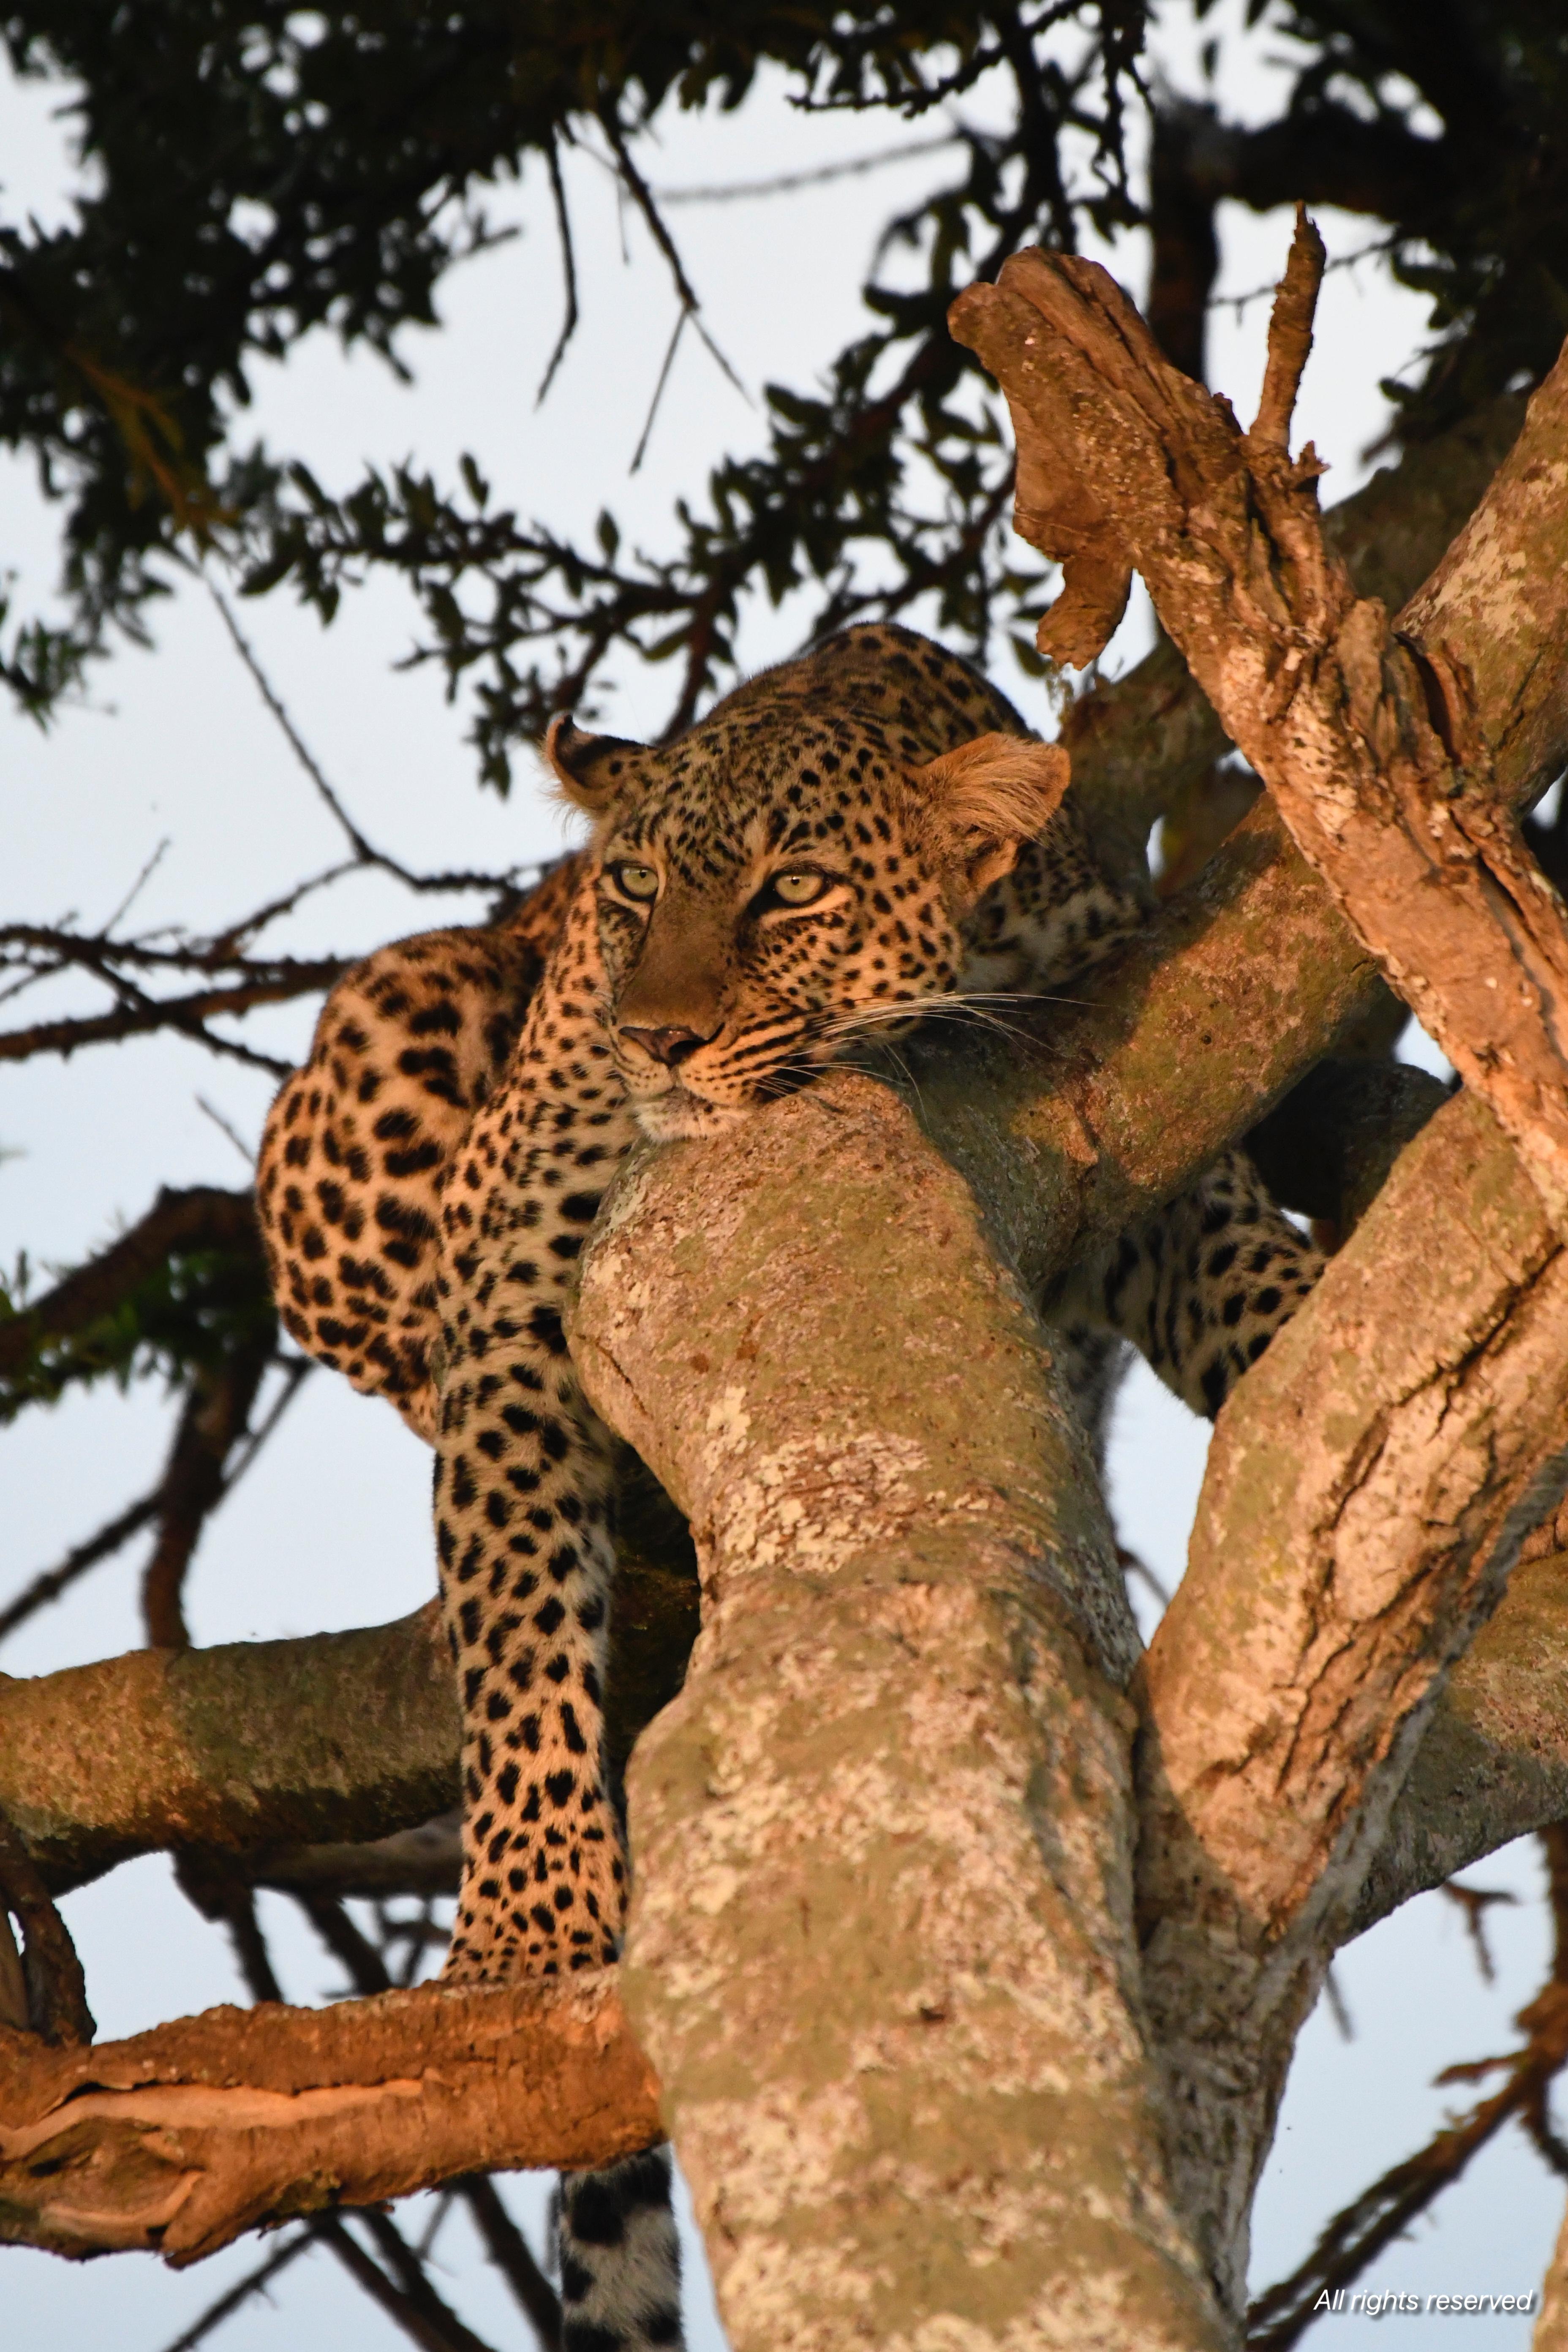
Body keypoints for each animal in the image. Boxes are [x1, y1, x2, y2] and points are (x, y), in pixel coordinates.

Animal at [256, 621, 1321, 2351]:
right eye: (632, 892)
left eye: (793, 890)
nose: (655, 1038)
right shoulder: (514, 1305)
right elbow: (512, 1623)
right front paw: (525, 1929)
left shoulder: (1131, 1100)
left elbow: (1231, 1246)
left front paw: (1329, 1320)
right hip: (384, 1037)